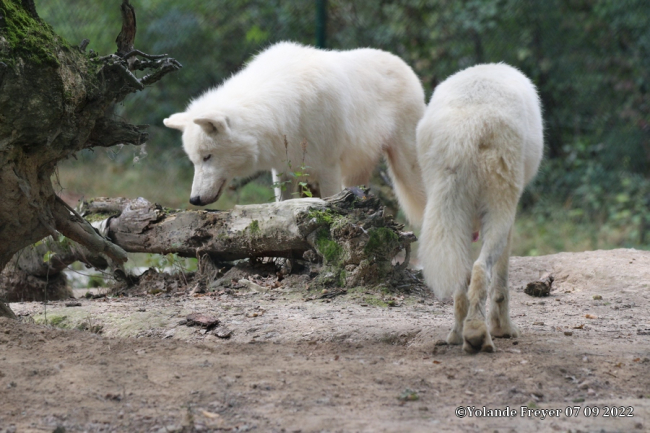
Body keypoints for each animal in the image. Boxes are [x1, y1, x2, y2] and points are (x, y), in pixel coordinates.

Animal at [162, 41, 426, 226]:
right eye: (194, 161)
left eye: (207, 157)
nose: (194, 200)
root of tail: (403, 63)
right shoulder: (283, 171)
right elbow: (283, 208)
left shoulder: (329, 170)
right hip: (358, 171)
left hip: (407, 169)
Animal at [416, 65, 540, 354]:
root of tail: (466, 125)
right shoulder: (511, 217)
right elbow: (501, 283)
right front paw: (503, 329)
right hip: (500, 210)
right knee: (481, 270)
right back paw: (478, 335)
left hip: (447, 211)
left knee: (462, 278)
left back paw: (458, 334)